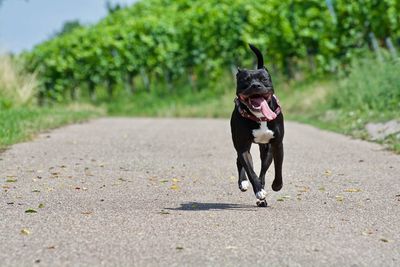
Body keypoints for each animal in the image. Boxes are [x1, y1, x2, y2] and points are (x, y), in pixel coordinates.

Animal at [230, 43, 282, 207]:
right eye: (245, 81)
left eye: (264, 79)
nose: (256, 85)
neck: (259, 117)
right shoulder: (243, 147)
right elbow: (250, 171)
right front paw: (258, 190)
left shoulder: (276, 144)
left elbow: (277, 167)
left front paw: (276, 185)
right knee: (240, 162)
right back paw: (244, 183)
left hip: (266, 150)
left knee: (263, 170)